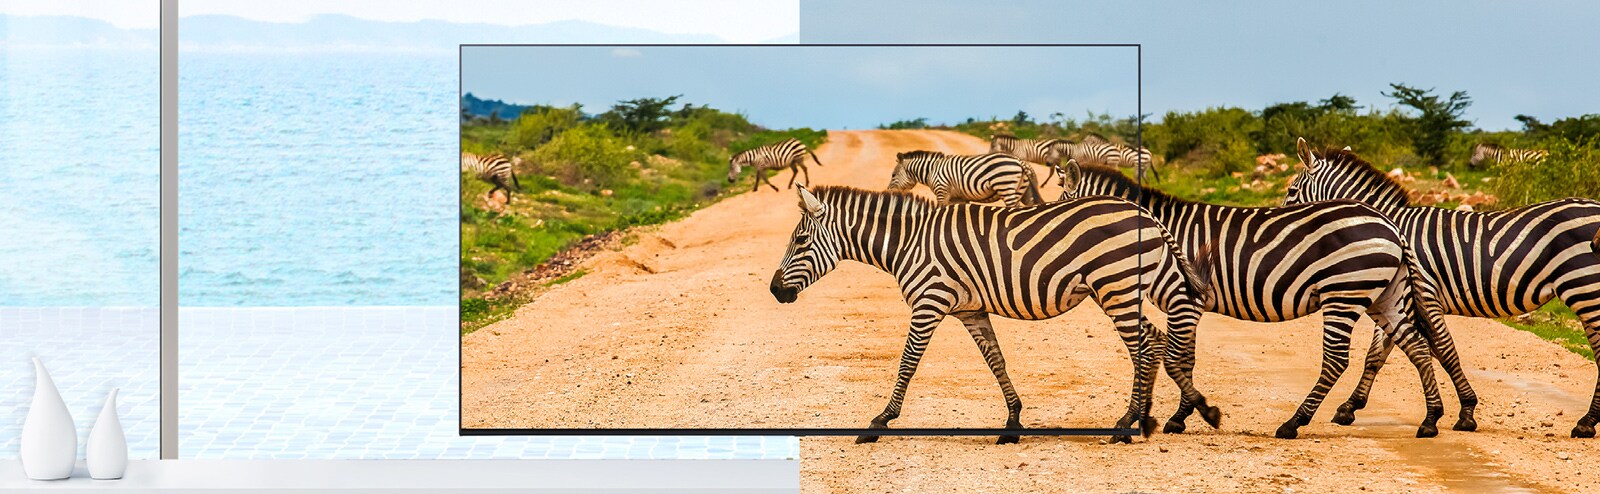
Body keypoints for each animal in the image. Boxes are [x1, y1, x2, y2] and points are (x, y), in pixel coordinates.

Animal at [769, 185, 1210, 444]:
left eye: (801, 240)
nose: (774, 291)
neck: (909, 242)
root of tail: (1145, 214)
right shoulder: (971, 310)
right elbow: (995, 360)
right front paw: (1013, 423)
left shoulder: (929, 302)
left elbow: (907, 363)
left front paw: (879, 422)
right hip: (1120, 290)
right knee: (1156, 341)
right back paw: (1161, 415)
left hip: (1115, 287)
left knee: (1146, 346)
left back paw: (1131, 423)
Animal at [887, 151, 1043, 207]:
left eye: (893, 175)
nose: (889, 191)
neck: (931, 171)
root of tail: (1019, 161)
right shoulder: (958, 197)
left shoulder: (942, 191)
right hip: (1023, 190)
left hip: (1005, 185)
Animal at [1055, 159, 1454, 439]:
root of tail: (1390, 224)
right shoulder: (1191, 306)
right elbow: (1187, 359)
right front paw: (1184, 415)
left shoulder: (1185, 300)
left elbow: (1177, 358)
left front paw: (1185, 415)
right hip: (1383, 294)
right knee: (1417, 346)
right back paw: (1431, 420)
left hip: (1344, 293)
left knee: (1336, 360)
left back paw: (1293, 423)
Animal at [1285, 137, 1600, 438]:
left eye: (1292, 191)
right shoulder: (1398, 298)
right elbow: (1377, 355)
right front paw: (1349, 408)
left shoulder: (1421, 292)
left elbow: (1444, 350)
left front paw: (1465, 413)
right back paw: (1588, 423)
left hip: (1584, 289)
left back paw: (1586, 423)